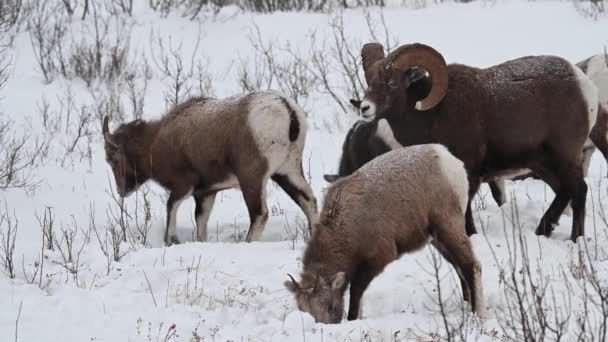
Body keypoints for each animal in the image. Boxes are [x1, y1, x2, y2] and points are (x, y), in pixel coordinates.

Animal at [101, 91, 318, 246]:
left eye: (112, 159)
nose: (122, 191)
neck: (155, 143)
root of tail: (288, 111)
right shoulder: (206, 193)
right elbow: (201, 223)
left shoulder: (184, 186)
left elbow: (171, 207)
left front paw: (171, 240)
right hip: (287, 172)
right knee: (308, 201)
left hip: (252, 179)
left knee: (259, 214)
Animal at [286, 144, 484, 324]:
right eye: (304, 310)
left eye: (329, 306)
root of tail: (452, 163)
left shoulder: (380, 256)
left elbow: (356, 291)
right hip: (436, 238)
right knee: (459, 267)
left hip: (448, 225)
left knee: (471, 266)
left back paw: (478, 314)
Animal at [356, 42, 604, 240]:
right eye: (369, 81)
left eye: (392, 83)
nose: (365, 108)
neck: (432, 115)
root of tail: (585, 85)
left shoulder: (470, 172)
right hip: (543, 164)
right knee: (565, 192)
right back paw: (544, 230)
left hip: (564, 156)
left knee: (578, 191)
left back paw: (575, 239)